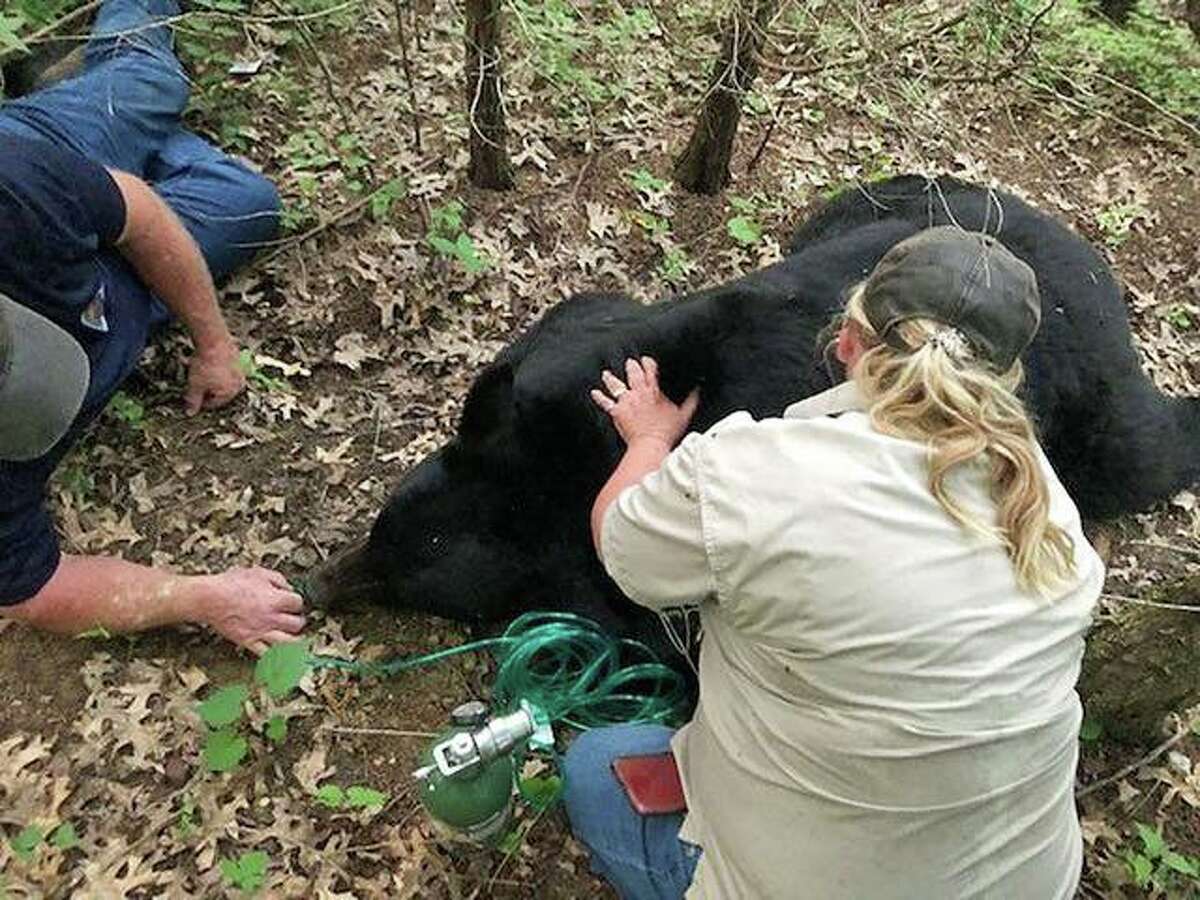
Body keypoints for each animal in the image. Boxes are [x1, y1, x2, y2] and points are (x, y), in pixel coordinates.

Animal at [314, 176, 1200, 667]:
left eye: (412, 562)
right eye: (388, 523)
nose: (322, 578)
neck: (550, 460)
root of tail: (1088, 265)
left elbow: (656, 629)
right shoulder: (566, 345)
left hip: (1095, 404)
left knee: (1142, 451)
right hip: (882, 204)